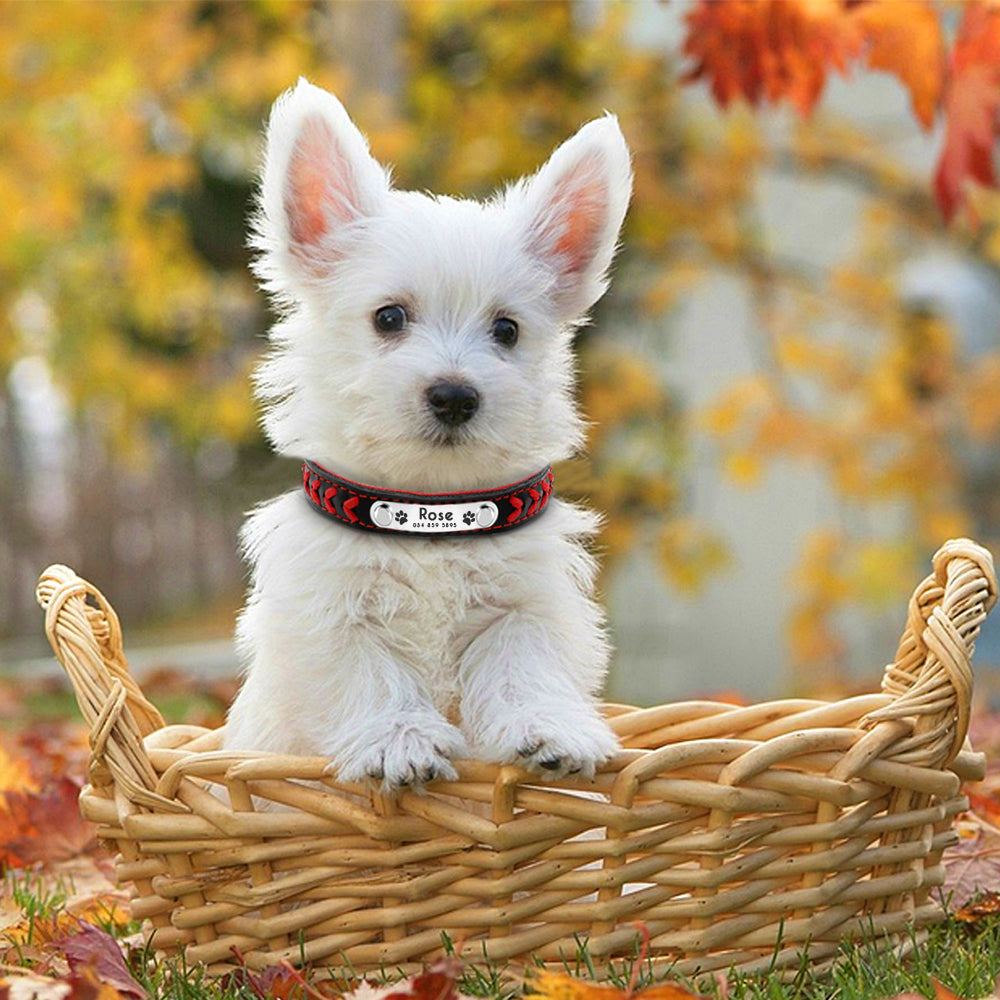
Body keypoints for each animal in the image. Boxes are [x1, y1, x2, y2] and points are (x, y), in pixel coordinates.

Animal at [226, 78, 632, 792]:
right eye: (389, 317)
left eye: (507, 330)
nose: (454, 395)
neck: (428, 510)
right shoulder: (331, 611)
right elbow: (371, 675)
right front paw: (400, 742)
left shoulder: (525, 604)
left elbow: (523, 664)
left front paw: (551, 730)